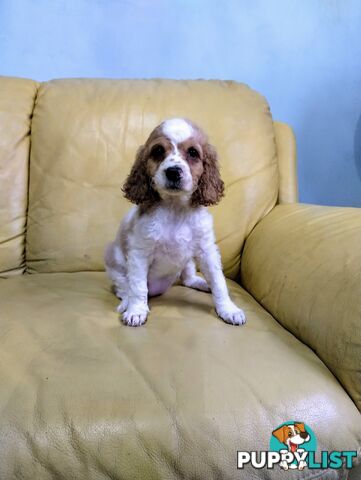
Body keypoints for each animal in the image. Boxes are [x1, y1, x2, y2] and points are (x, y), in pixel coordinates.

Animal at [104, 117, 245, 326]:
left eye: (193, 153)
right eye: (158, 151)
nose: (173, 172)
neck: (175, 208)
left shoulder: (207, 251)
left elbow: (219, 282)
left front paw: (228, 309)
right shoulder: (140, 253)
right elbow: (138, 286)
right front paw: (136, 310)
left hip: (187, 261)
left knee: (187, 278)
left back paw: (202, 283)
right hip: (114, 262)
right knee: (124, 287)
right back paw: (127, 302)